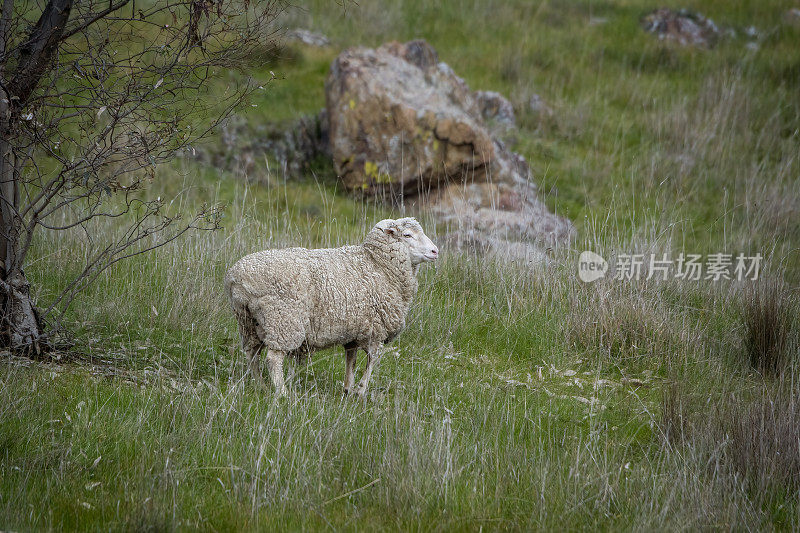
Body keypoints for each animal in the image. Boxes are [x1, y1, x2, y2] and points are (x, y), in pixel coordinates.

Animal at [223, 216, 438, 394]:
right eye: (408, 235)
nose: (435, 251)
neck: (378, 265)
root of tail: (237, 278)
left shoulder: (355, 330)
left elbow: (351, 360)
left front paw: (348, 389)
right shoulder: (376, 331)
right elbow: (372, 361)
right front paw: (361, 390)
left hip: (247, 321)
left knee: (252, 354)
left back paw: (261, 386)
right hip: (283, 320)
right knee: (273, 359)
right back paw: (282, 393)